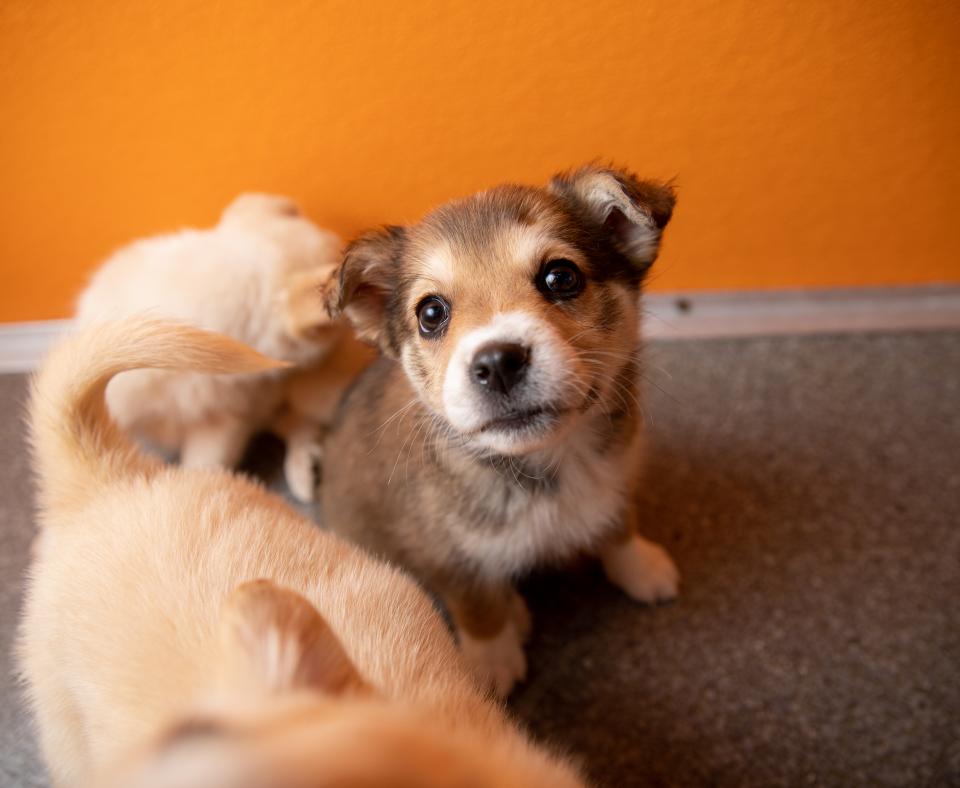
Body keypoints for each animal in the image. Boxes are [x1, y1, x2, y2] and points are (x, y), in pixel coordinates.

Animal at [324, 163, 684, 692]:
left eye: (561, 277)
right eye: (431, 313)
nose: (497, 363)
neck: (551, 463)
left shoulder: (615, 477)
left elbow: (619, 524)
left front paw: (640, 567)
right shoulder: (443, 549)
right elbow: (477, 605)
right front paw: (491, 663)